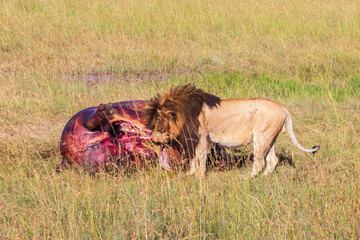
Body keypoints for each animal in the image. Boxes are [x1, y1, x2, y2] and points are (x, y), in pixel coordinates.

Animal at [143, 83, 320, 177]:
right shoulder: (195, 140)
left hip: (261, 138)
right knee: (272, 160)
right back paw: (263, 177)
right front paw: (189, 175)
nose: (155, 139)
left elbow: (199, 161)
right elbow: (194, 160)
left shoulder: (201, 139)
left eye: (158, 121)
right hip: (269, 138)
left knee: (259, 161)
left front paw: (199, 178)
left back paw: (248, 178)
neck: (182, 113)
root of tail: (284, 108)